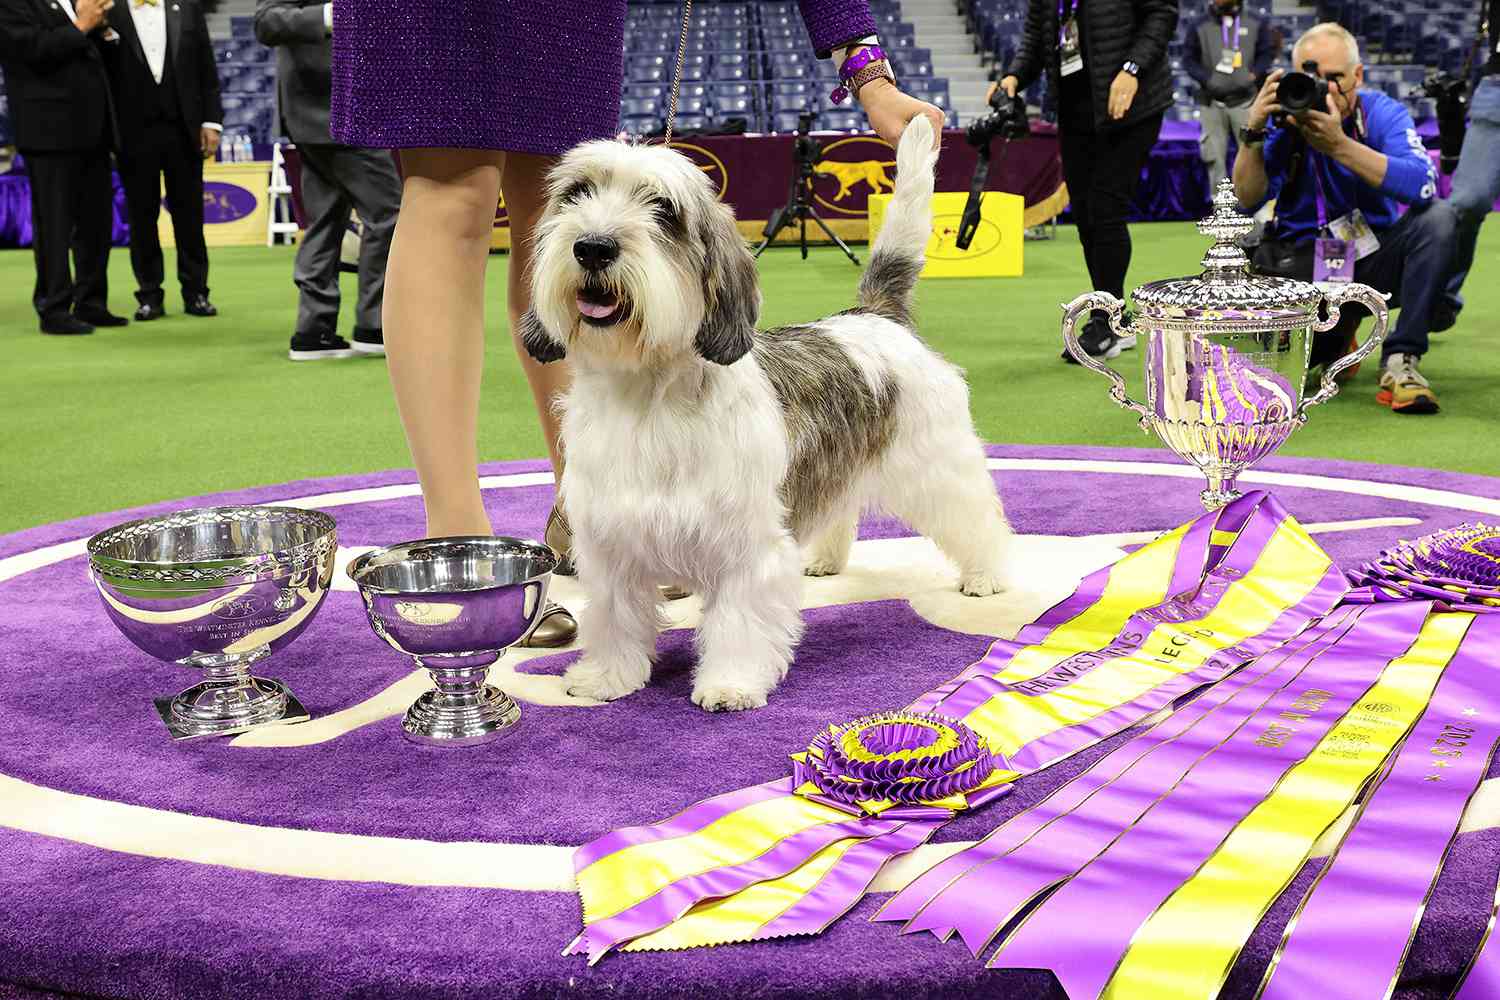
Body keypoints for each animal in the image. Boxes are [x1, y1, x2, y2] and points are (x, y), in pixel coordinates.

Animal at [522, 117, 1014, 710]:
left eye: (664, 210)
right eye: (577, 194)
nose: (593, 247)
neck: (650, 398)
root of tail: (874, 314)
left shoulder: (745, 545)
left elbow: (738, 621)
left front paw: (730, 683)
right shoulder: (610, 542)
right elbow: (615, 617)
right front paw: (607, 677)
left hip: (938, 464)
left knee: (976, 517)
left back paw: (986, 574)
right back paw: (826, 558)